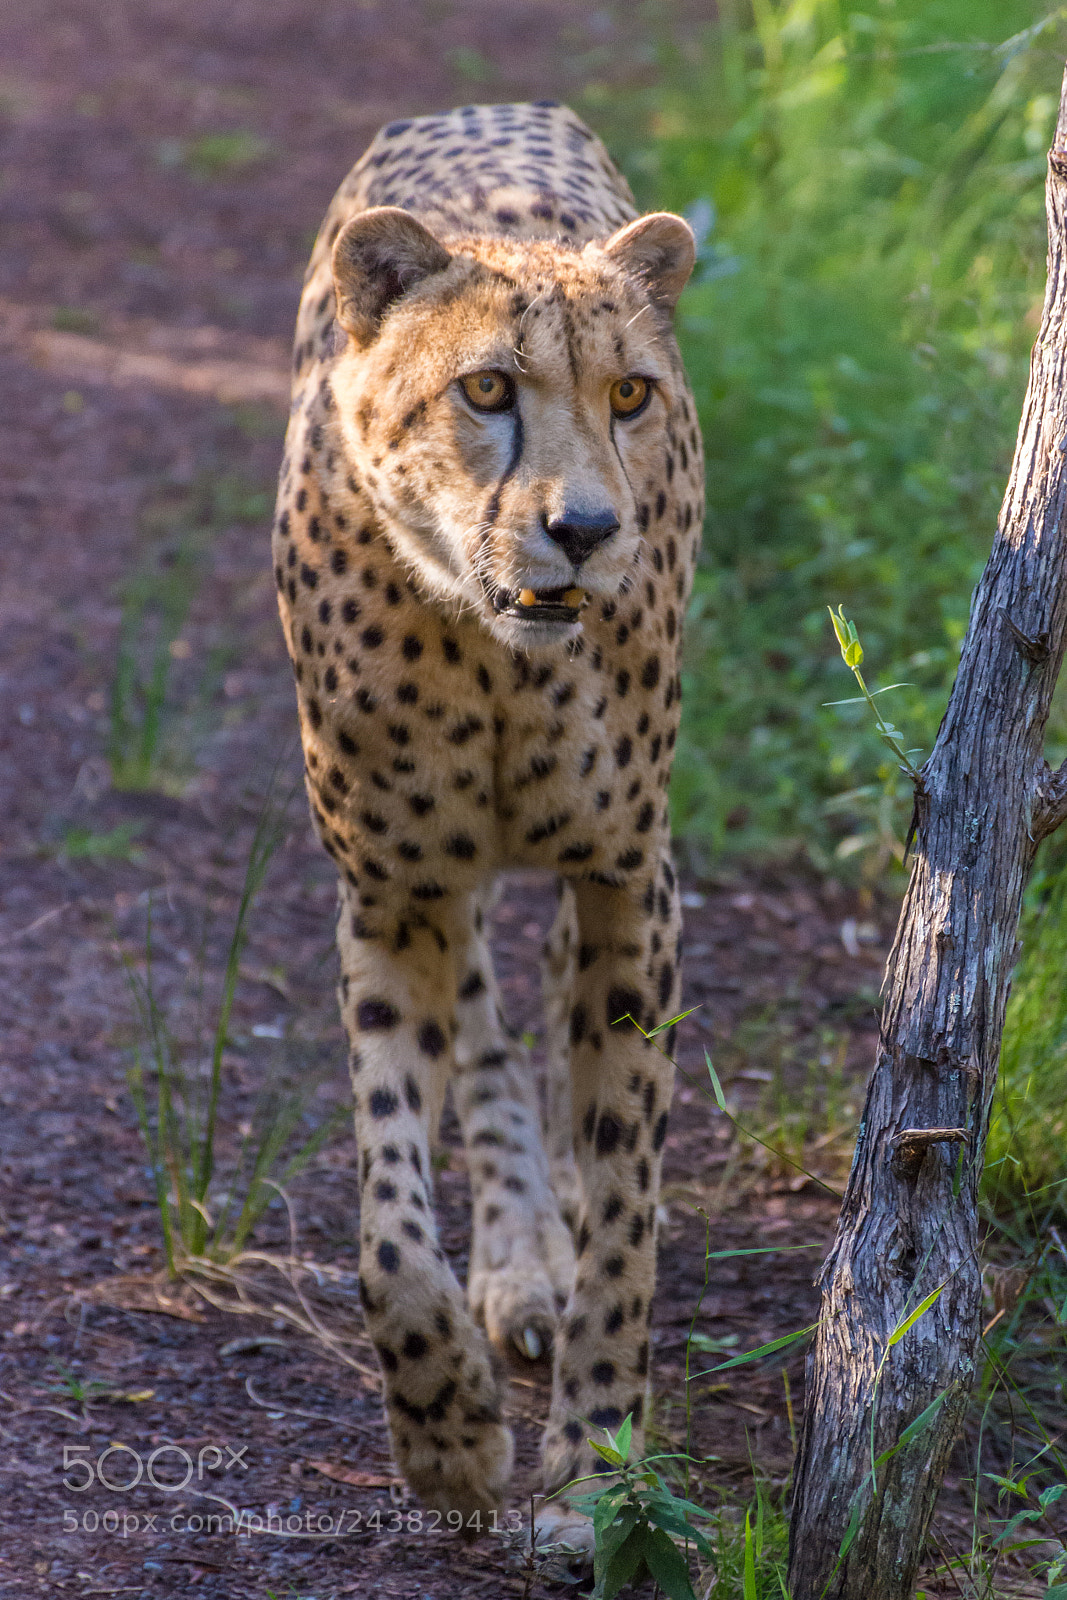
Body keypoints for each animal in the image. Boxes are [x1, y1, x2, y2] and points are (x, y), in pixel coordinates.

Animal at [271, 99, 704, 1552]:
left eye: (627, 395)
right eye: (485, 392)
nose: (586, 529)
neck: (493, 654)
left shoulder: (629, 875)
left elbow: (629, 1207)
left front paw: (595, 1467)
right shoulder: (389, 893)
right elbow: (390, 1225)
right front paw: (450, 1438)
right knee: (482, 1030)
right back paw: (514, 1261)